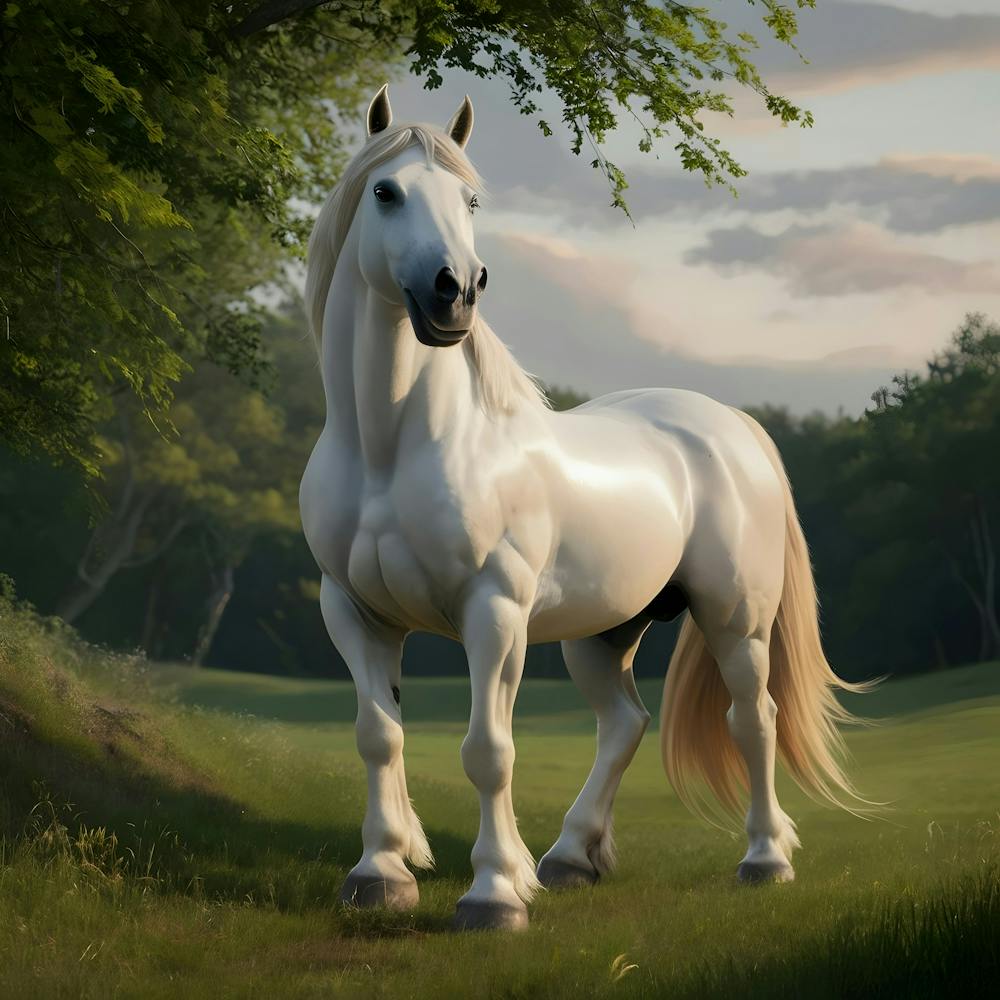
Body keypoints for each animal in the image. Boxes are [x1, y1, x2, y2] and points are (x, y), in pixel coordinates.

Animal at [299, 84, 869, 932]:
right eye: (386, 192)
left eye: (471, 199)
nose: (455, 290)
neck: (392, 447)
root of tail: (735, 428)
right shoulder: (354, 612)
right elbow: (379, 736)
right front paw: (380, 873)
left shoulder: (492, 612)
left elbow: (488, 750)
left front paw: (493, 896)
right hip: (602, 633)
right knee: (625, 723)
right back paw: (570, 857)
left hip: (735, 619)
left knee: (753, 720)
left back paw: (764, 860)